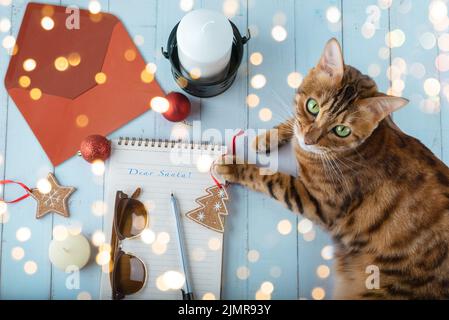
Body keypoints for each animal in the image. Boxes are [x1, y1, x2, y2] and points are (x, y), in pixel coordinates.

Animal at [215, 38, 448, 298]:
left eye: (342, 130)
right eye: (313, 106)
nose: (309, 140)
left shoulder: (318, 202)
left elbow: (271, 178)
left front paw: (233, 165)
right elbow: (293, 123)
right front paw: (268, 138)